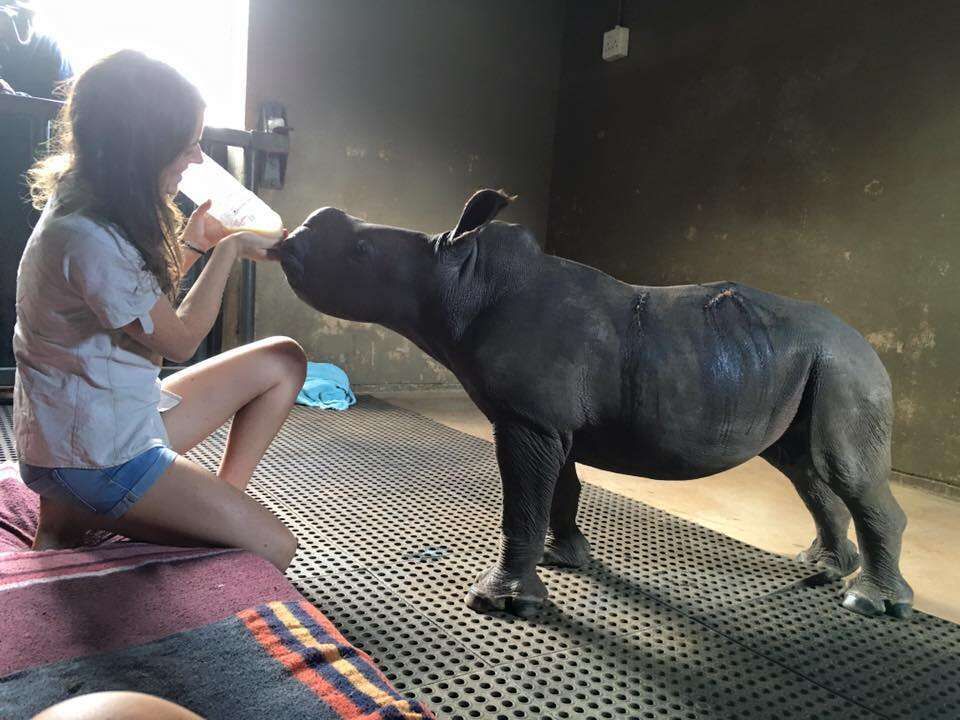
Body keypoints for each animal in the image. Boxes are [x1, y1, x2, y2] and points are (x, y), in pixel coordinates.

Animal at [270, 190, 916, 620]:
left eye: (359, 251)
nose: (291, 243)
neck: (459, 280)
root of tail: (866, 342)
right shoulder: (548, 420)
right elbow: (560, 488)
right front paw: (567, 558)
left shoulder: (527, 418)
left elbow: (524, 502)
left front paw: (502, 603)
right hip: (806, 364)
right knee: (802, 465)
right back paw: (822, 565)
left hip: (845, 368)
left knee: (843, 470)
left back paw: (870, 603)